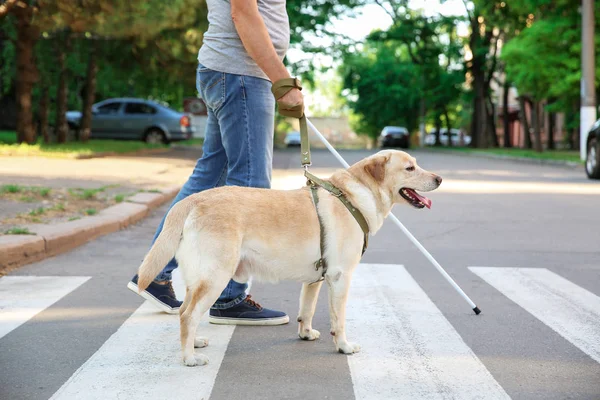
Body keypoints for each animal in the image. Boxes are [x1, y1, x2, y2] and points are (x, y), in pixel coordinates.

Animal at [138, 149, 442, 366]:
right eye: (410, 168)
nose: (439, 179)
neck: (355, 196)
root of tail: (190, 201)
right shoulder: (341, 276)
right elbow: (339, 319)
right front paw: (343, 346)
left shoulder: (316, 278)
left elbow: (306, 310)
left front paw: (305, 334)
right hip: (215, 277)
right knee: (188, 315)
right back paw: (189, 358)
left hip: (198, 279)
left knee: (184, 312)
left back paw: (194, 343)